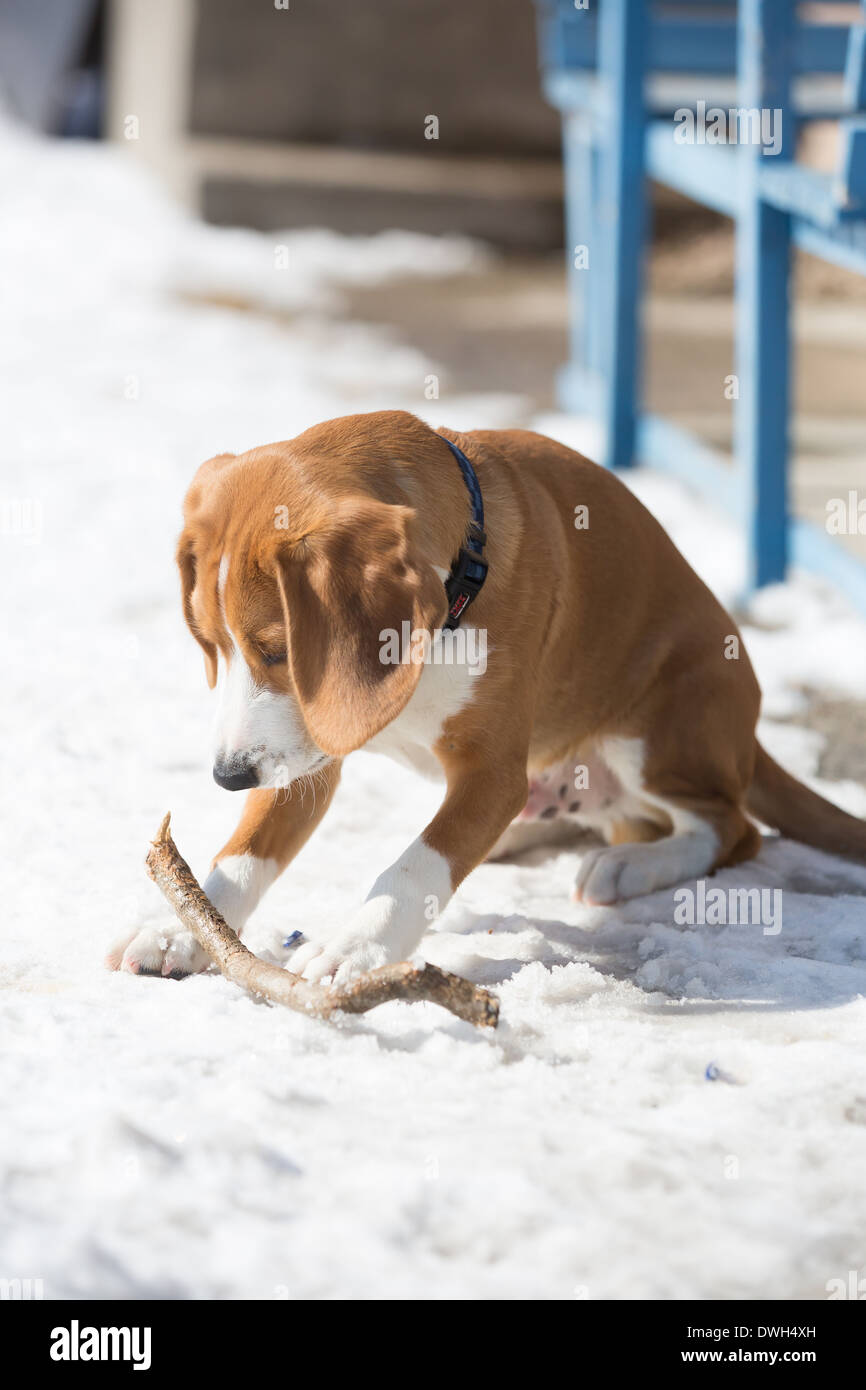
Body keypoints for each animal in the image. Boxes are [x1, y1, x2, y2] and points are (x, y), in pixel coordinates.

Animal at [108, 405, 866, 984]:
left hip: (654, 731)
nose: (227, 777)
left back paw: (628, 864)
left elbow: (416, 866)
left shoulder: (491, 771)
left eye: (277, 652)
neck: (452, 599)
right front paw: (183, 930)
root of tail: (753, 739)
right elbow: (245, 852)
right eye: (213, 647)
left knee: (730, 828)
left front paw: (359, 948)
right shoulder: (310, 750)